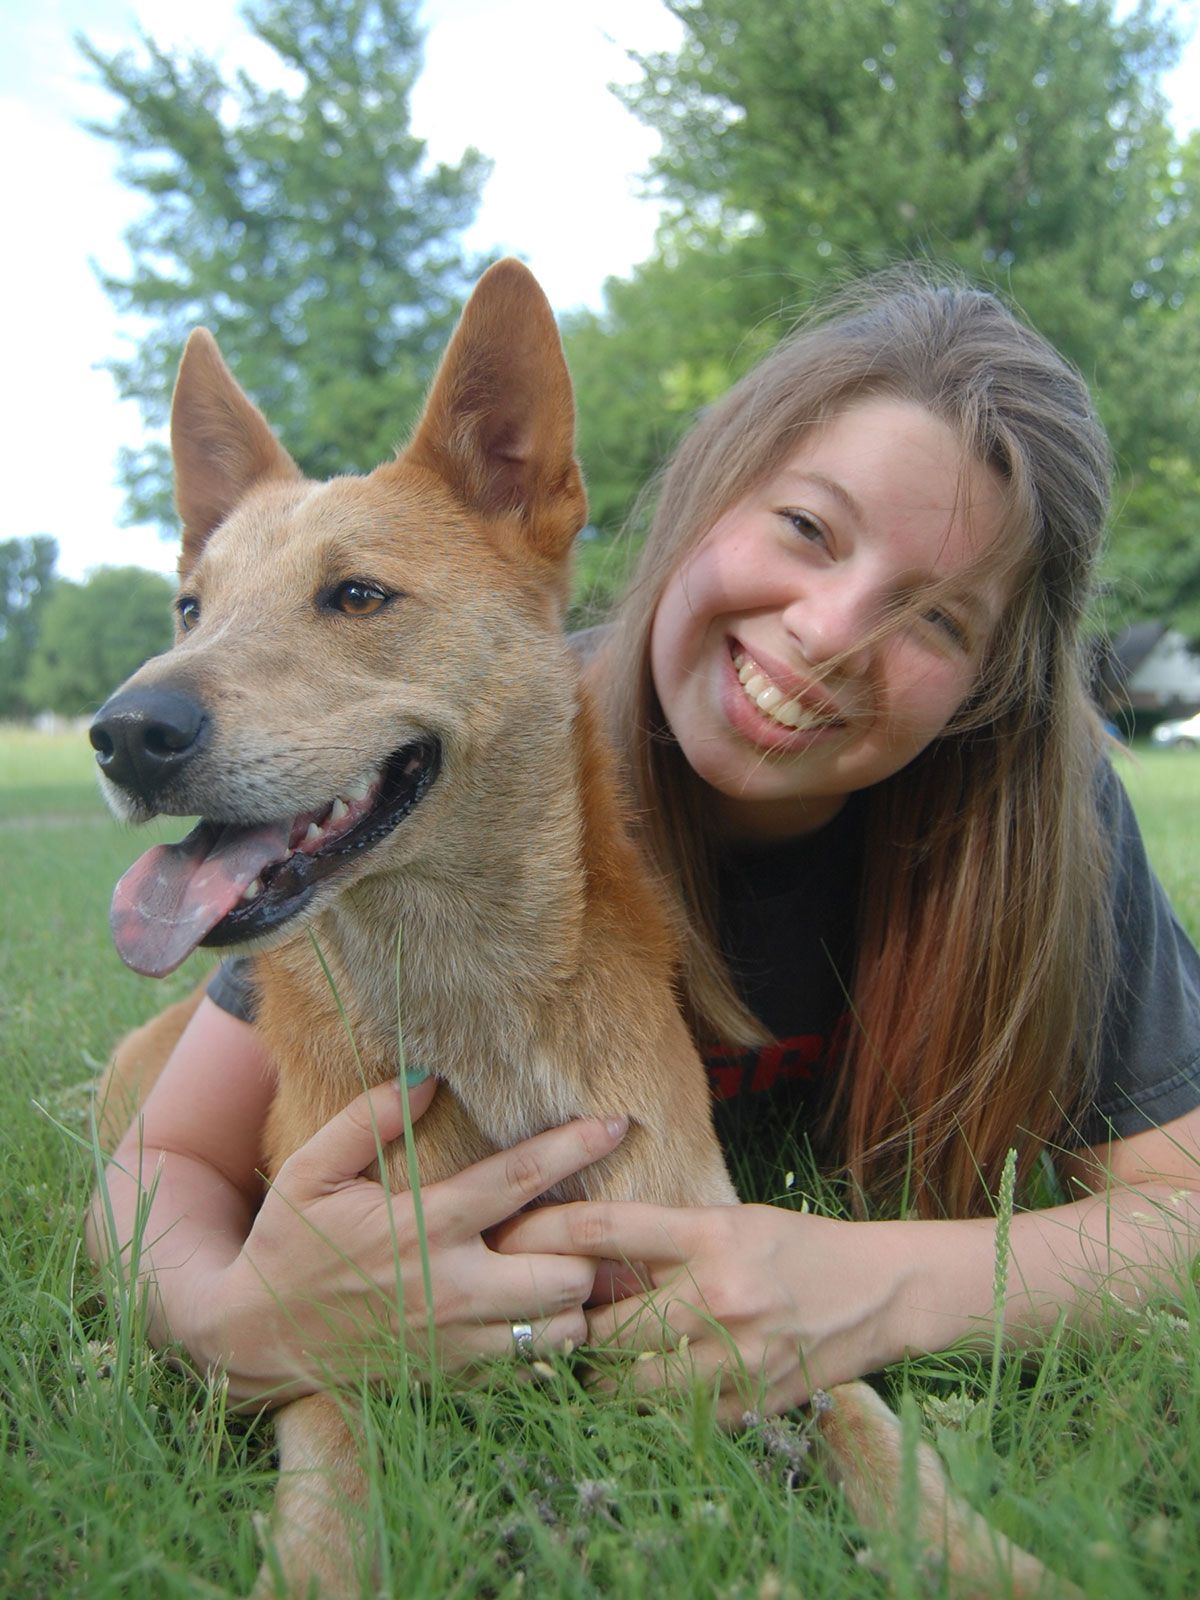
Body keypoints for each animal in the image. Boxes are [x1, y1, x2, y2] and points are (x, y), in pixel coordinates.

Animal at [89, 256, 1075, 1593]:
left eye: (357, 594)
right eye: (190, 608)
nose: (126, 732)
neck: (477, 1004)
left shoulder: (717, 1267)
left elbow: (882, 1435)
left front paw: (996, 1558)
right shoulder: (325, 1296)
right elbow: (328, 1489)